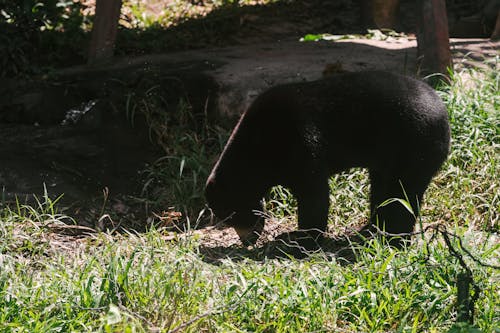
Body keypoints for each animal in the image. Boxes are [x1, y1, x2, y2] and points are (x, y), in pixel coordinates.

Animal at [205, 70, 452, 244]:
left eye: (232, 215)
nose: (247, 241)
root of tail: (443, 111)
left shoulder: (300, 142)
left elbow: (314, 195)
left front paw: (299, 239)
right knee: (384, 189)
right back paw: (370, 230)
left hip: (414, 144)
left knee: (403, 192)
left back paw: (393, 238)